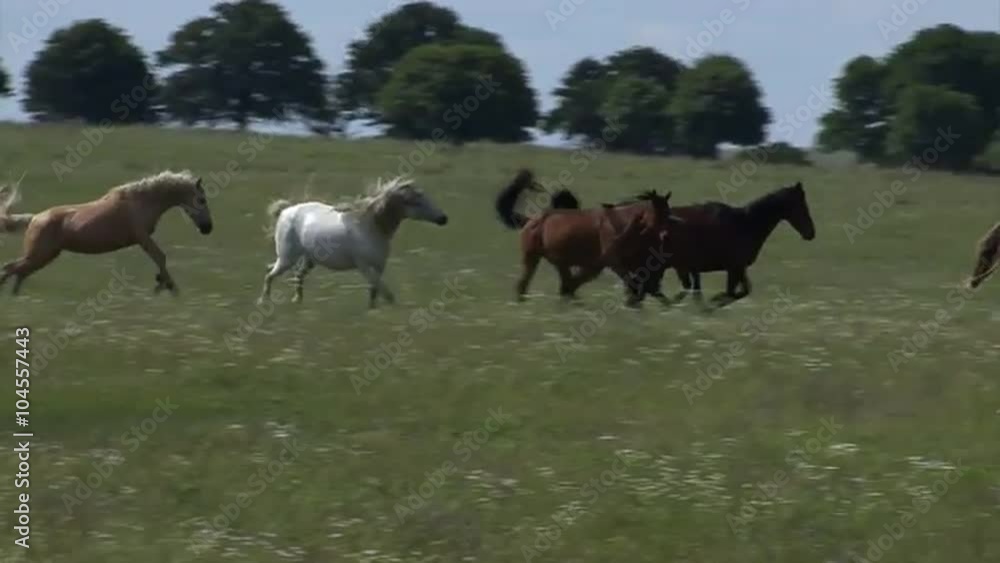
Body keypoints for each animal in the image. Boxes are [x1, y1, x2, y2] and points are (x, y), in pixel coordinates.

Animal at [0, 170, 213, 295]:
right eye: (201, 199)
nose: (208, 228)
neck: (143, 201)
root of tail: (34, 218)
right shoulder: (142, 237)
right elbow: (161, 257)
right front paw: (167, 286)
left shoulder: (142, 238)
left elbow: (160, 258)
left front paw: (164, 283)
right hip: (40, 254)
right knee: (13, 269)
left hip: (44, 255)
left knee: (18, 271)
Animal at [259, 175, 448, 308]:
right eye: (416, 202)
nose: (443, 219)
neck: (371, 227)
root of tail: (285, 211)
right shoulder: (364, 267)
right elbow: (386, 293)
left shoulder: (379, 267)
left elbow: (374, 292)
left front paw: (373, 312)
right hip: (287, 258)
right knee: (270, 274)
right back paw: (264, 301)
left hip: (308, 260)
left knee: (294, 276)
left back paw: (296, 301)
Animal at [495, 169, 681, 305]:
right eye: (657, 212)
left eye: (668, 212)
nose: (665, 235)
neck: (620, 224)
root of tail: (530, 220)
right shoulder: (612, 262)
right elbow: (635, 285)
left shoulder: (601, 265)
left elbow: (643, 286)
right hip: (532, 257)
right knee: (524, 284)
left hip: (561, 263)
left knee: (564, 285)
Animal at [640, 182, 816, 304]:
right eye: (801, 205)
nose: (811, 233)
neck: (745, 224)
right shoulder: (734, 268)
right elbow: (731, 293)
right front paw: (712, 303)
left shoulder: (739, 268)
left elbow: (743, 291)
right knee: (650, 288)